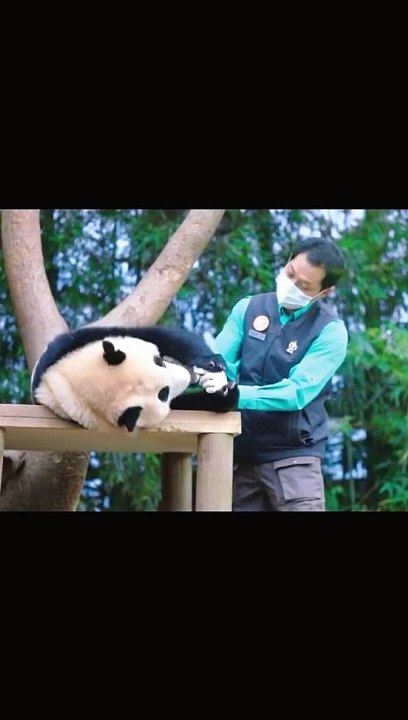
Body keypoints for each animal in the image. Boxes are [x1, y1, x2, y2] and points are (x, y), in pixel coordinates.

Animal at [31, 325, 239, 433]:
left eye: (159, 362)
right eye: (164, 394)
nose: (190, 376)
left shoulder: (78, 342)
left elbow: (166, 336)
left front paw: (212, 367)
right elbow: (182, 406)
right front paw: (223, 394)